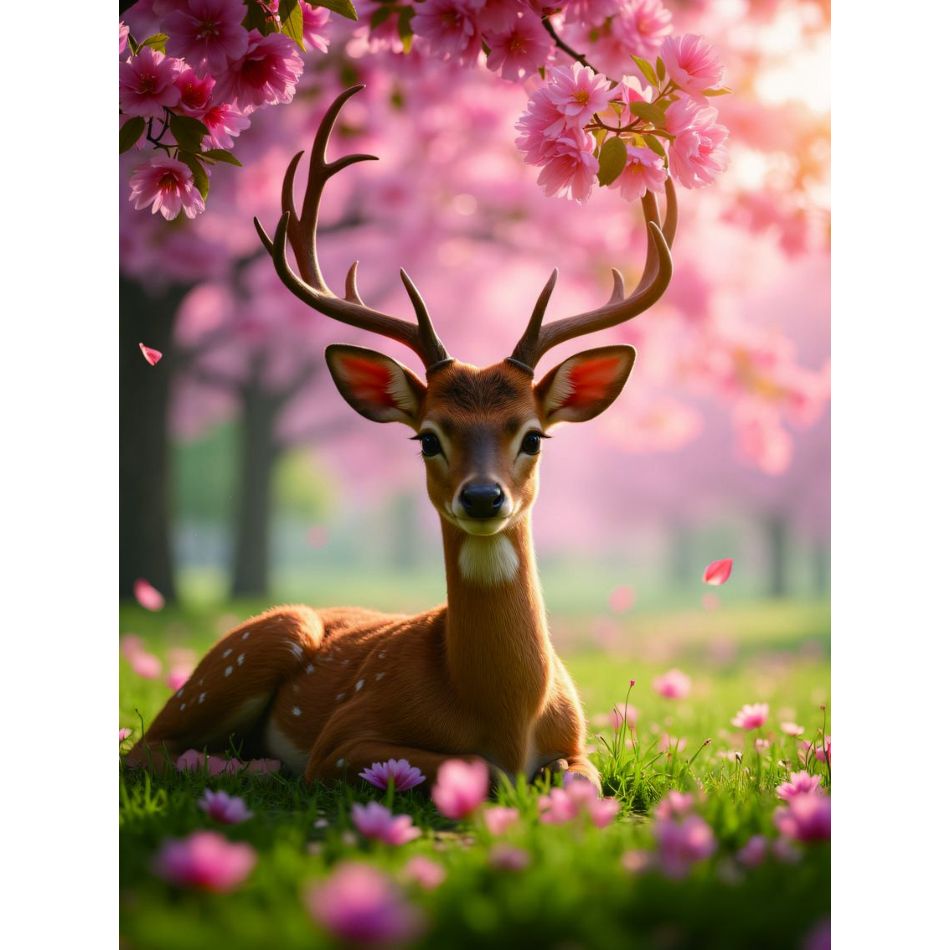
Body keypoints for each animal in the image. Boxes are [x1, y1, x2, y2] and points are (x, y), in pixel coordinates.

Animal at [126, 85, 676, 793]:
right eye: (426, 439)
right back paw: (254, 768)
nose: (482, 497)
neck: (505, 715)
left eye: (533, 437)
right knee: (147, 750)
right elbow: (480, 772)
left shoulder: (579, 743)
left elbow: (576, 778)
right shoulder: (346, 738)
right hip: (249, 647)